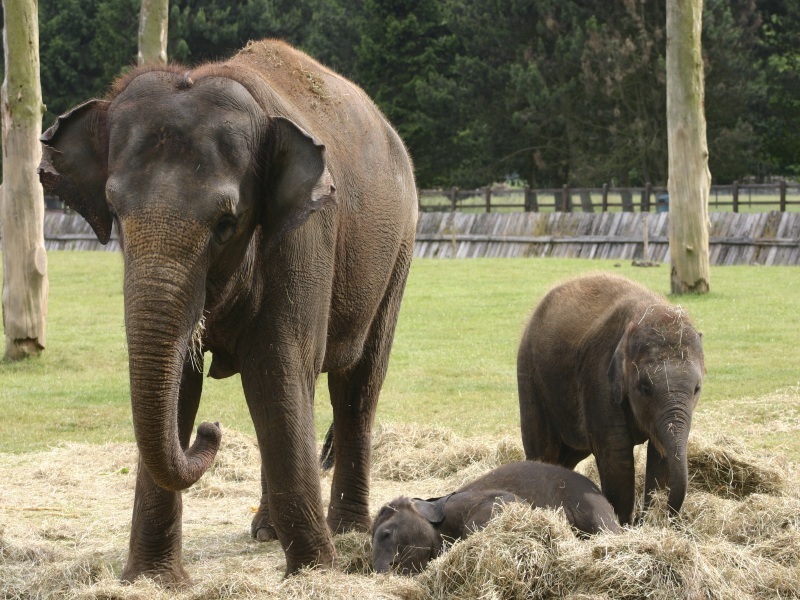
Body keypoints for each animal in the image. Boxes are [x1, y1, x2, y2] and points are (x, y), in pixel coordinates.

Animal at [39, 39, 418, 584]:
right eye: (115, 212)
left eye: (226, 223)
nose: (211, 430)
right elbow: (183, 384)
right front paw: (153, 580)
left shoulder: (305, 236)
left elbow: (277, 368)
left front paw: (313, 572)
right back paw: (267, 531)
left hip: (399, 252)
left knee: (355, 387)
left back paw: (345, 529)